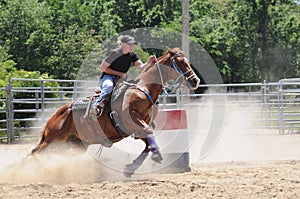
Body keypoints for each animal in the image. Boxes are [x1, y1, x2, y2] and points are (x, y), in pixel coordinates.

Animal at [30, 47, 200, 176]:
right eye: (180, 62)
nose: (195, 81)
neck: (143, 89)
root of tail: (56, 114)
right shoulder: (132, 120)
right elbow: (149, 133)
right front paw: (157, 155)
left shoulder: (138, 129)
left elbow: (148, 144)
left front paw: (130, 168)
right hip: (53, 139)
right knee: (35, 153)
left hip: (75, 144)